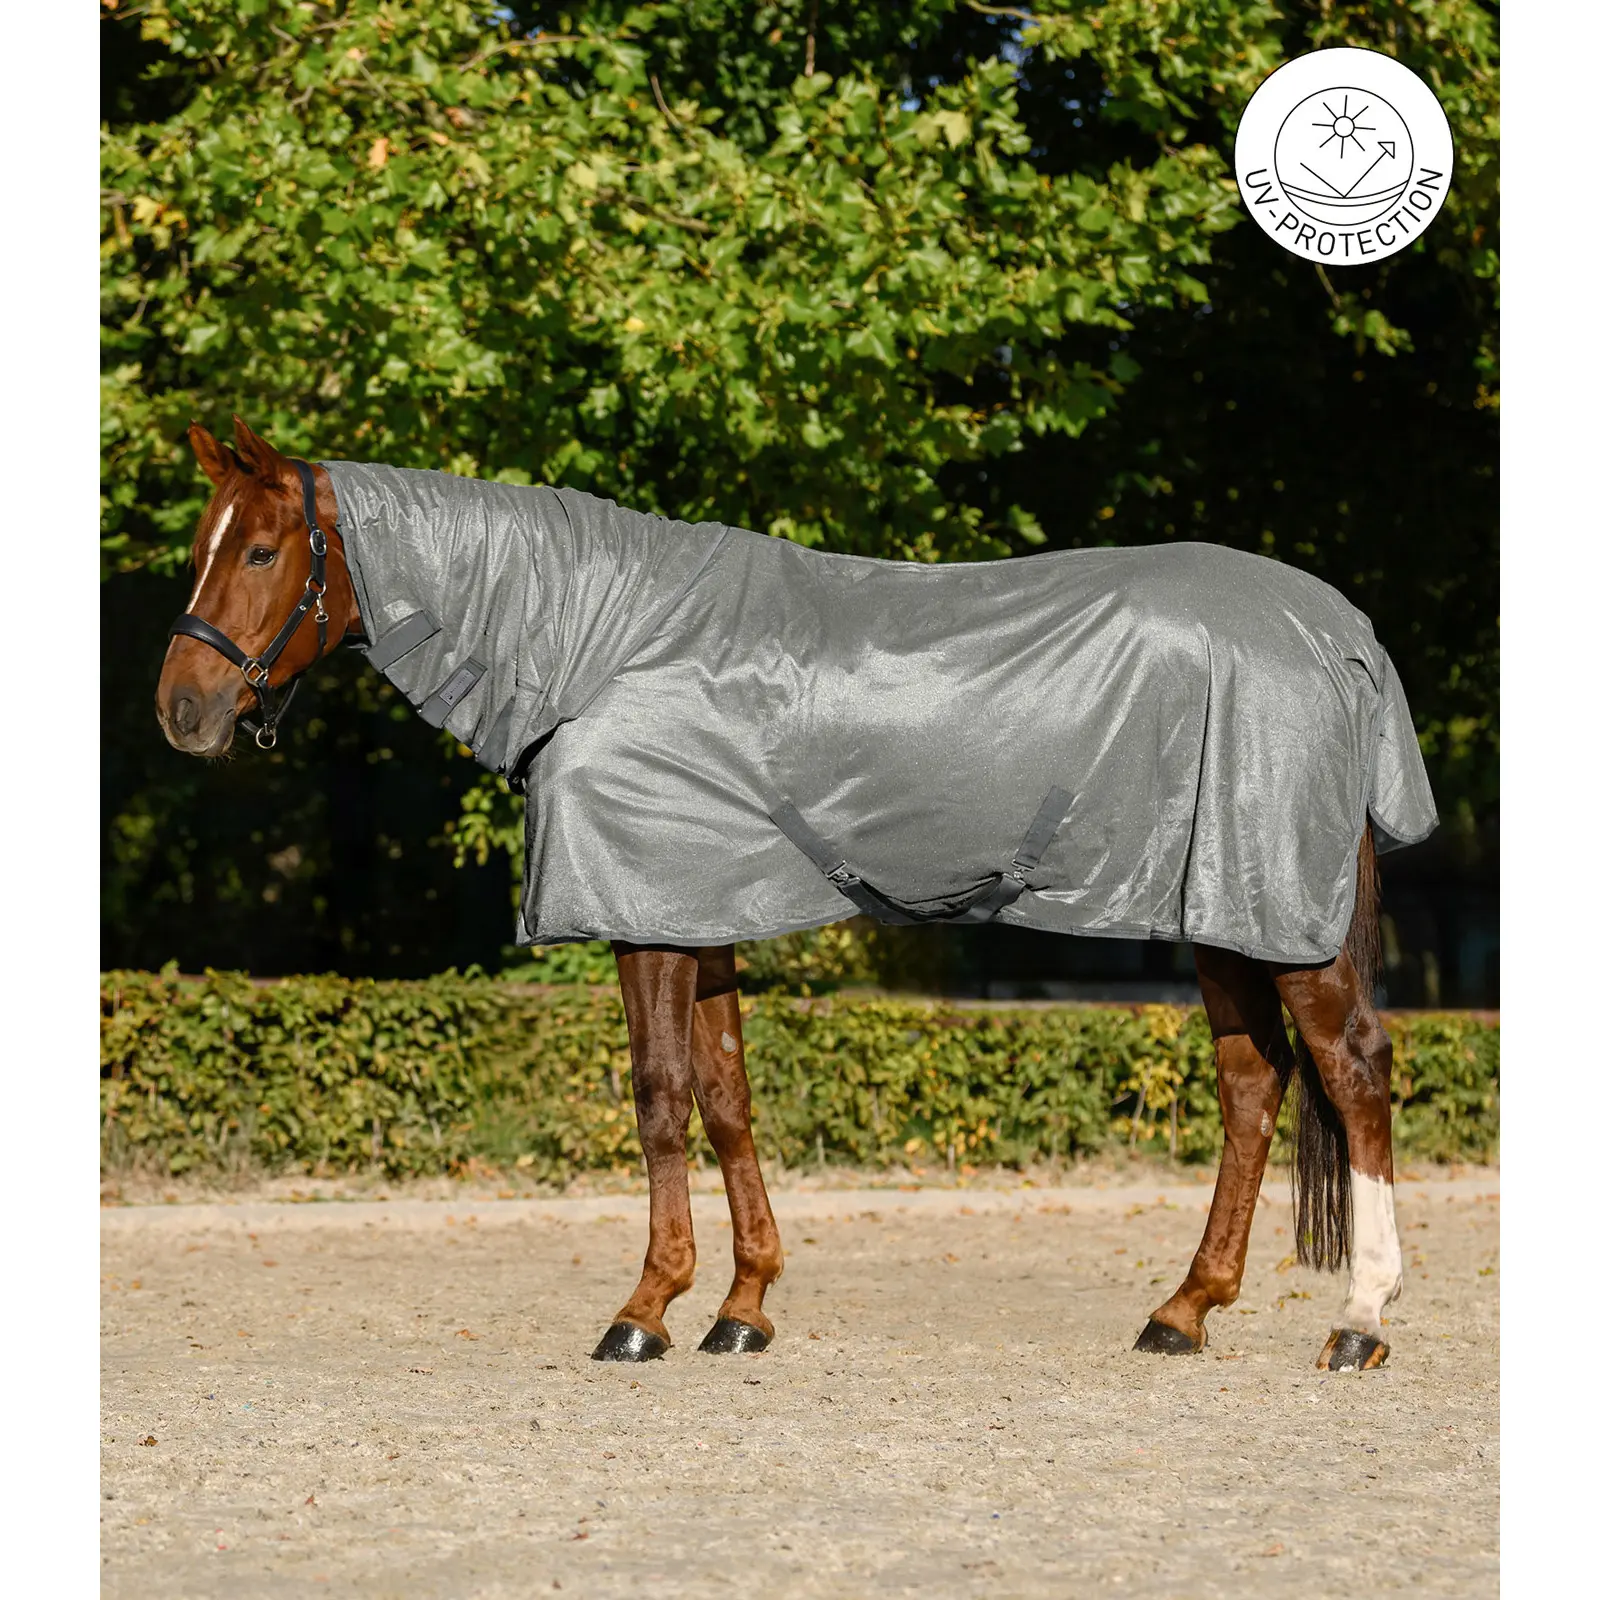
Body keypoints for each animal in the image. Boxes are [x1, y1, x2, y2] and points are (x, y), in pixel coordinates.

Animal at [156, 414, 1433, 1372]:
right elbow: (728, 1098)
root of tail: (1340, 633)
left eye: (261, 550)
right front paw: (743, 1305)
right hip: (1220, 910)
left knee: (1352, 1070)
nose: (183, 711)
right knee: (1253, 1086)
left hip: (1278, 913)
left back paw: (1358, 1320)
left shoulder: (645, 910)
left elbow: (660, 1097)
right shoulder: (697, 910)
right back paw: (1182, 1309)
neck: (603, 644)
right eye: (204, 545)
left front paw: (644, 1309)